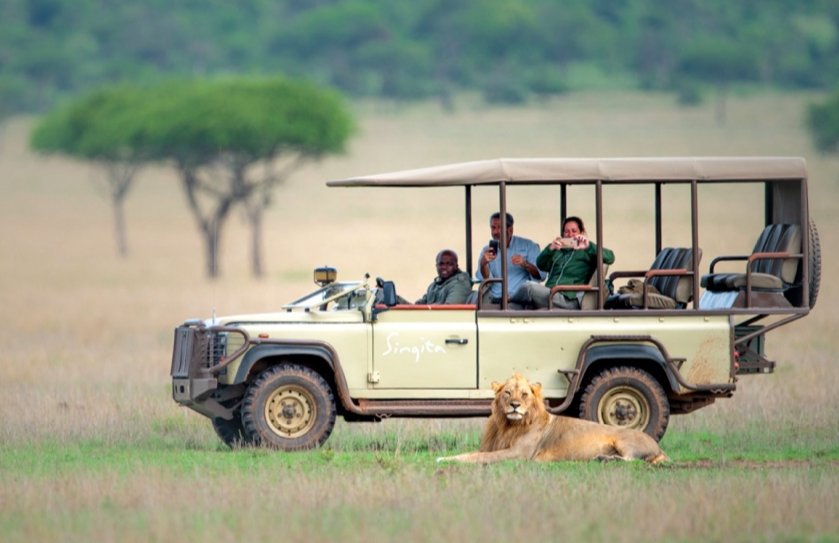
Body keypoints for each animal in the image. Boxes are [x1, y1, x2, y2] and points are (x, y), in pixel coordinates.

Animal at [440, 374, 668, 468]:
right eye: (508, 393)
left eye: (524, 394)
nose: (514, 405)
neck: (508, 425)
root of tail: (658, 447)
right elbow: (470, 454)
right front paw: (445, 458)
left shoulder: (518, 454)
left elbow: (480, 458)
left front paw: (445, 460)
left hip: (624, 440)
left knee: (632, 459)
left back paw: (604, 459)